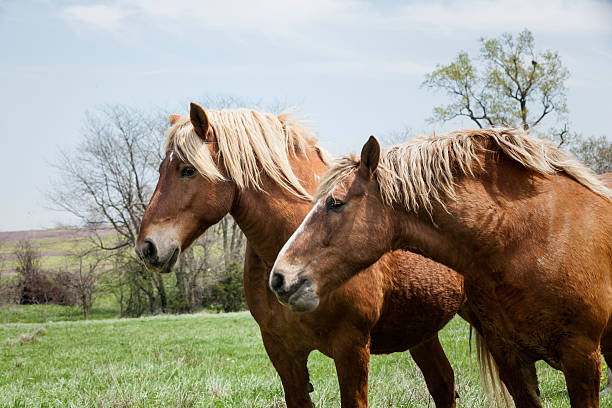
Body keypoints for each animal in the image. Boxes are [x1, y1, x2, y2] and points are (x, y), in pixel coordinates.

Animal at [136, 104, 466, 408]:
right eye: (161, 170)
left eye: (187, 170)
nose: (147, 248)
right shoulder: (282, 351)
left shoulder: (352, 347)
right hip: (422, 332)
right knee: (443, 383)